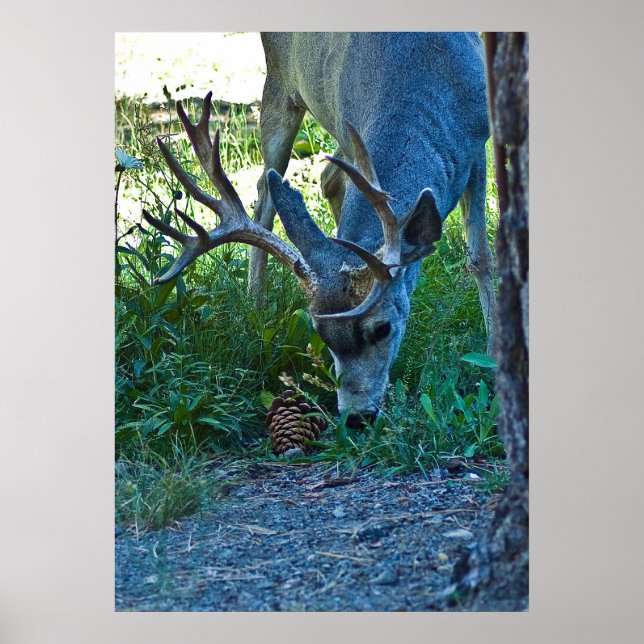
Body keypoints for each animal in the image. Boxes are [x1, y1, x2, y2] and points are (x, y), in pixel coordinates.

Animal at [143, 32, 496, 428]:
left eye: (383, 328)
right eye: (322, 335)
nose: (356, 416)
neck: (419, 87)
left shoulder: (477, 141)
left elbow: (480, 256)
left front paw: (492, 356)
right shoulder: (350, 127)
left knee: (325, 178)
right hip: (279, 85)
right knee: (266, 193)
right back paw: (255, 306)